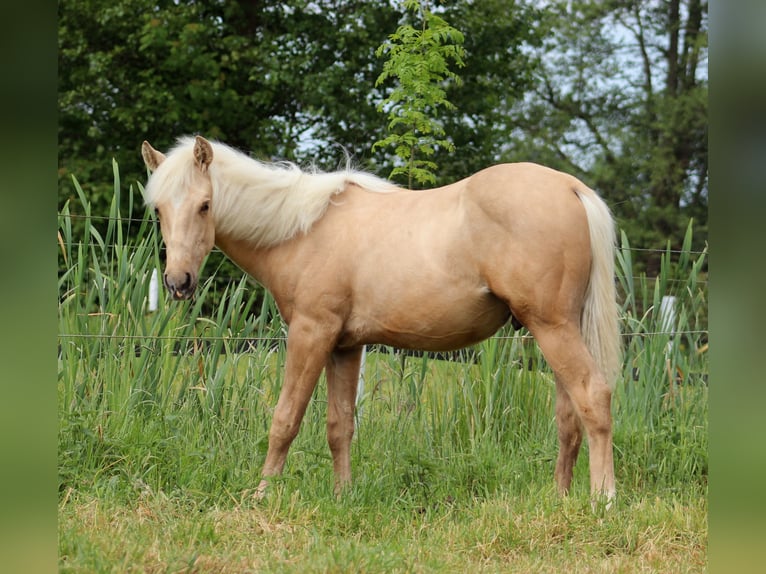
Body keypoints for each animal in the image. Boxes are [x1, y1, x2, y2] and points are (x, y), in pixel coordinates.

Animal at [142, 134, 624, 504]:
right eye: (159, 209)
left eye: (205, 205)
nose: (178, 282)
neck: (303, 229)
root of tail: (570, 188)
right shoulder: (344, 346)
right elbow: (339, 426)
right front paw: (343, 497)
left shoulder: (311, 334)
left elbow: (286, 419)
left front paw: (261, 495)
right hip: (555, 332)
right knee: (568, 414)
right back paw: (560, 497)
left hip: (553, 328)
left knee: (594, 396)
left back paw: (603, 498)